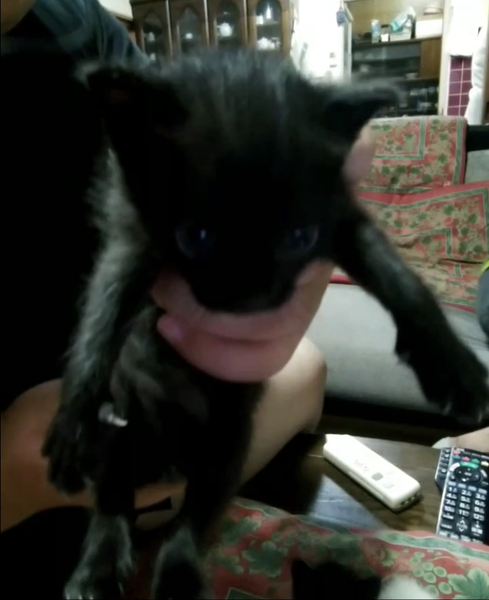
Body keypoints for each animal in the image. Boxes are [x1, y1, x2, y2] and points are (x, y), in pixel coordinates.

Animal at [42, 51, 488, 599]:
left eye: (299, 238)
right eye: (196, 237)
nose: (251, 297)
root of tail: (165, 455)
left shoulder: (340, 217)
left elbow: (401, 279)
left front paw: (453, 367)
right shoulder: (132, 238)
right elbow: (99, 321)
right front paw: (72, 422)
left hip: (228, 442)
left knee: (192, 517)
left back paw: (176, 576)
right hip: (124, 437)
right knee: (112, 499)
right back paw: (97, 568)